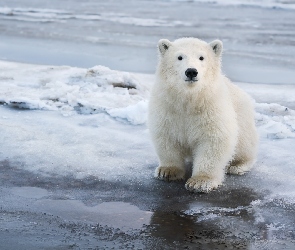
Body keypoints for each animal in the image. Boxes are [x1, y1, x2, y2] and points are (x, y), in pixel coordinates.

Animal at [148, 37, 260, 193]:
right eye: (180, 57)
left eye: (201, 57)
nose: (191, 71)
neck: (190, 99)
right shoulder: (167, 107)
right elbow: (166, 136)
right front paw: (167, 171)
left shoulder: (212, 108)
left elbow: (214, 139)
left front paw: (200, 182)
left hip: (243, 118)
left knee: (244, 144)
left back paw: (237, 165)